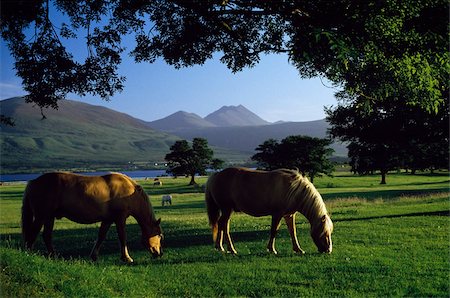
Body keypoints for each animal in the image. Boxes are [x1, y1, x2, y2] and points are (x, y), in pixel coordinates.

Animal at [22, 172, 163, 264]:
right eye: (160, 235)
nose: (159, 253)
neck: (130, 192)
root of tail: (33, 182)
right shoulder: (120, 218)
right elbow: (122, 237)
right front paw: (127, 258)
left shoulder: (108, 219)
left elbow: (101, 236)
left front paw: (94, 256)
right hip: (41, 216)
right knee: (32, 233)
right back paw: (29, 254)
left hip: (49, 217)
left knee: (46, 236)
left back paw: (54, 256)